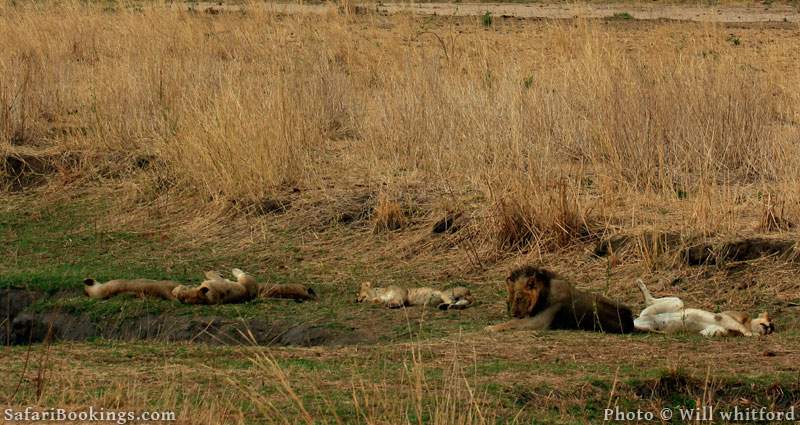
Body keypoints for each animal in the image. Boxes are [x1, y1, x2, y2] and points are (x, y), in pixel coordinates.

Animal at [484, 264, 636, 332]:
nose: (514, 313)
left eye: (519, 298)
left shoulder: (538, 323)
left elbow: (512, 323)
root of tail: (630, 321)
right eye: (508, 300)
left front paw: (490, 327)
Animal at [632, 280, 776, 336]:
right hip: (677, 304)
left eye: (771, 328)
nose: (770, 328)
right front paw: (751, 334)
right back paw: (641, 286)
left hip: (646, 323)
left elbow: (715, 331)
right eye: (769, 320)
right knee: (672, 301)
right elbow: (739, 326)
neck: (749, 323)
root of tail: (637, 320)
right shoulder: (727, 316)